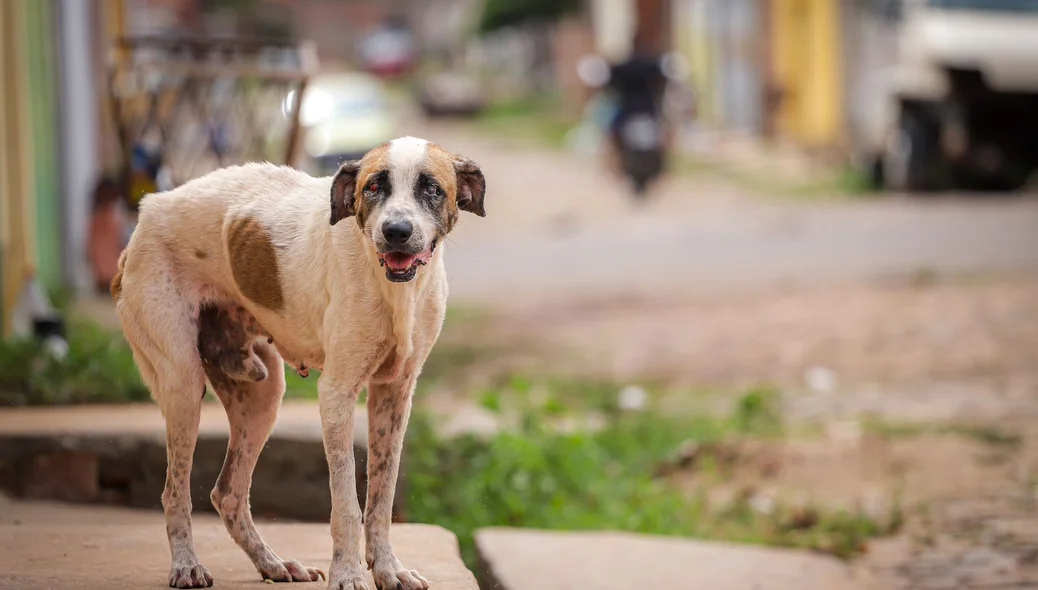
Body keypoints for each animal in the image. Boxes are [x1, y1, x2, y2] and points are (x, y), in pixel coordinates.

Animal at [111, 135, 483, 590]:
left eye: (431, 187)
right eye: (373, 187)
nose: (396, 232)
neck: (393, 289)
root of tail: (148, 210)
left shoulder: (394, 394)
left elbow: (381, 497)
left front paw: (388, 569)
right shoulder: (336, 394)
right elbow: (346, 502)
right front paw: (348, 573)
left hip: (264, 395)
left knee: (228, 493)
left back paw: (273, 564)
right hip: (183, 386)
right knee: (174, 491)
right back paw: (186, 566)